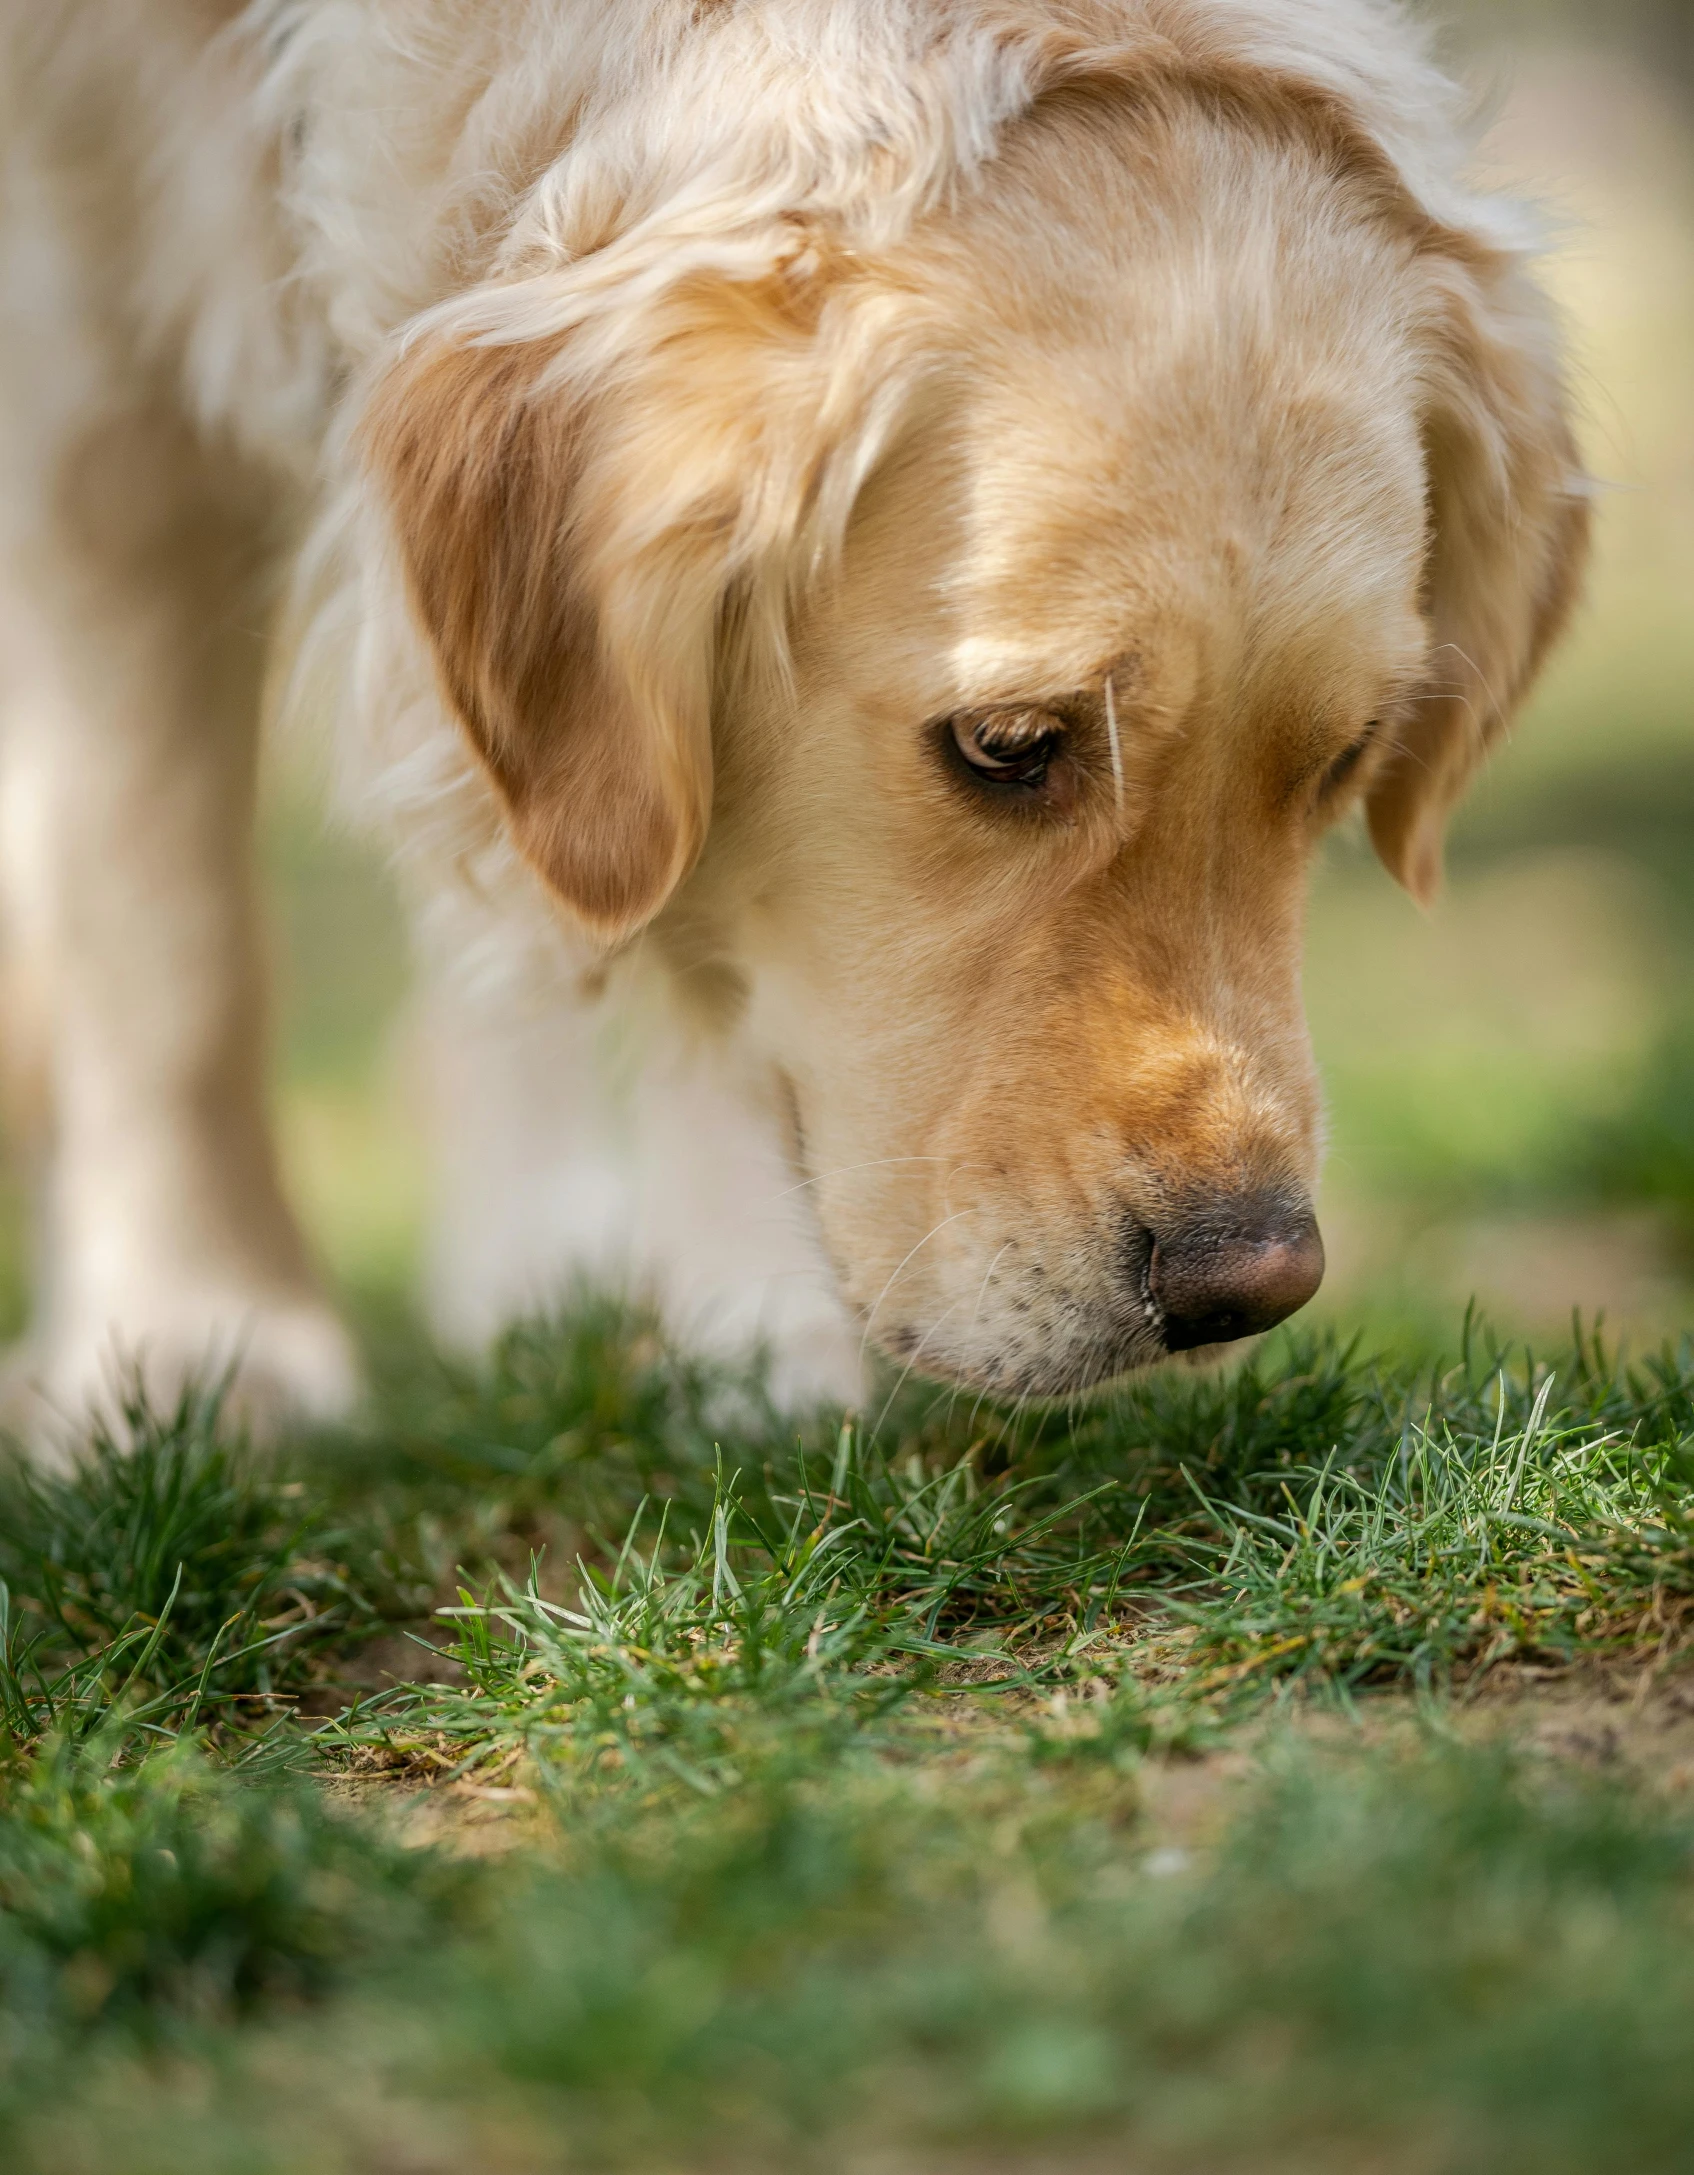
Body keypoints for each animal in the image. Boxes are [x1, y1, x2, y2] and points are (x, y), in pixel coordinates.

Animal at [0, 4, 1591, 1444]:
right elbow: (166, 934)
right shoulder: (81, 340)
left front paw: (748, 1331)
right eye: (1008, 745)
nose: (1246, 1285)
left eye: (1343, 762)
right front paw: (192, 1340)